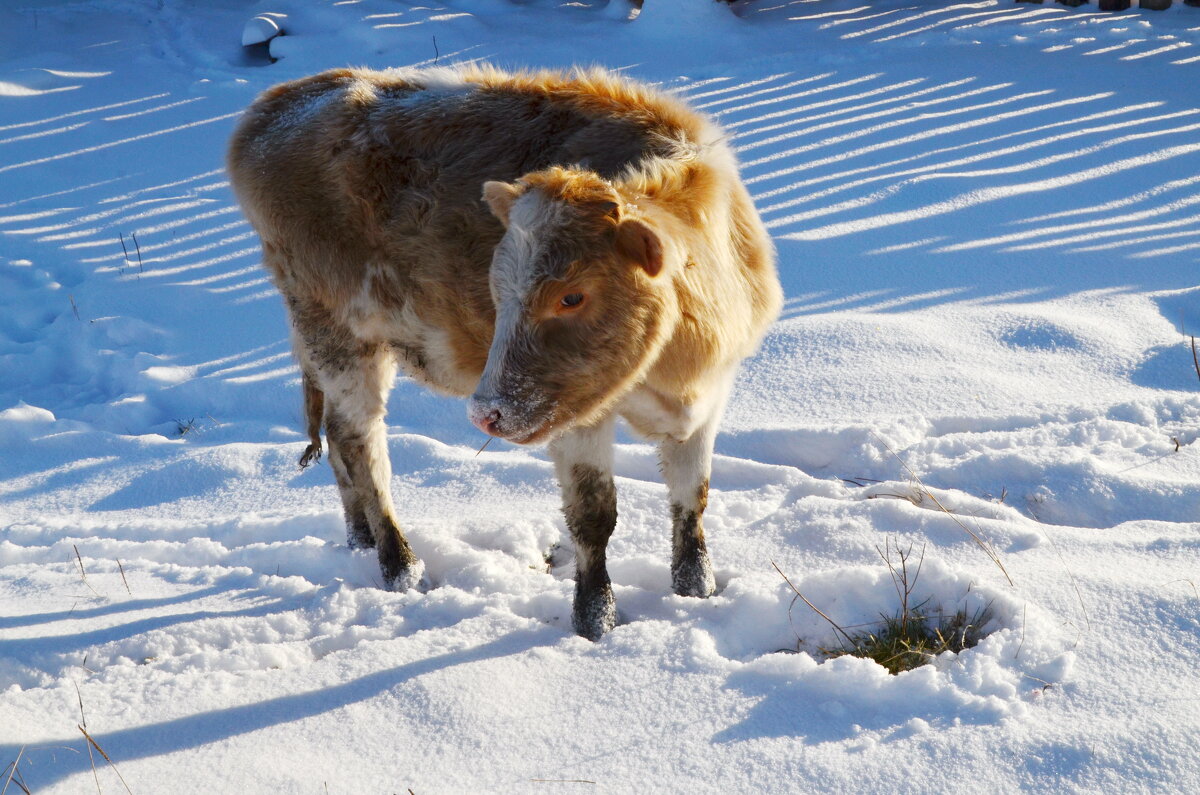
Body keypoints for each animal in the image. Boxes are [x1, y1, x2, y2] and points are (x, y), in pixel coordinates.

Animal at [228, 65, 782, 643]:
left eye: (571, 295)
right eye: (496, 288)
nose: (486, 414)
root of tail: (286, 100)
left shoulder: (708, 401)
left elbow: (692, 498)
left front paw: (697, 592)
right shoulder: (577, 416)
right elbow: (594, 517)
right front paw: (595, 621)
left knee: (338, 435)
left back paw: (361, 538)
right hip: (336, 332)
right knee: (360, 441)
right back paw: (400, 564)